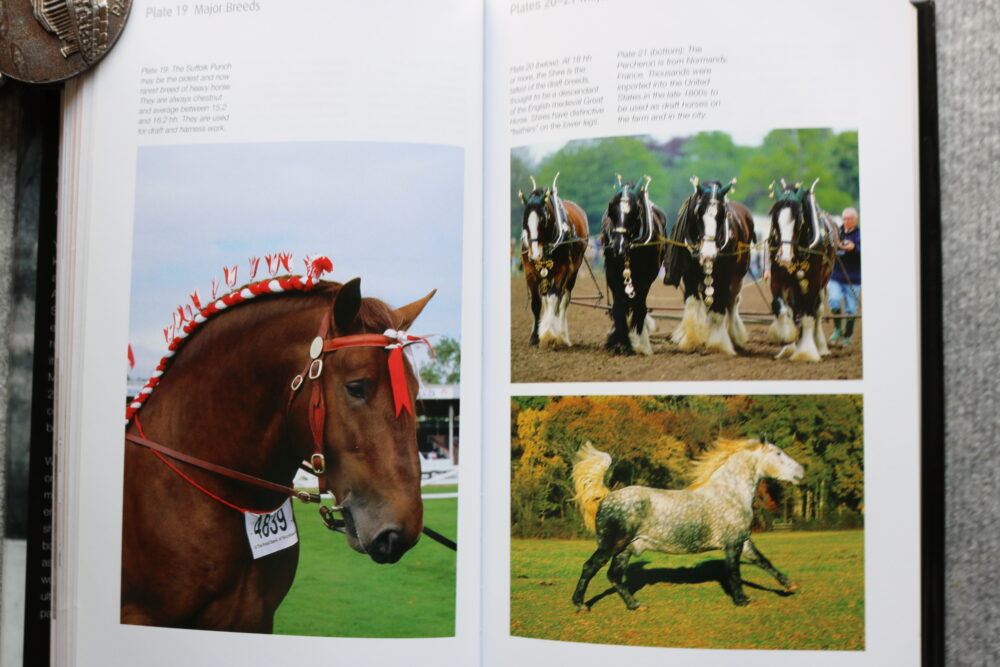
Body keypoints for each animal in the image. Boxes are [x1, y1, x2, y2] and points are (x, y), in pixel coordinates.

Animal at [518, 173, 589, 348]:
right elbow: (536, 303)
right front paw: (534, 337)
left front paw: (549, 334)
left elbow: (553, 298)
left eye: (543, 219)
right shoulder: (530, 271)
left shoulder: (562, 270)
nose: (535, 254)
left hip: (573, 272)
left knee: (563, 300)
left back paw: (562, 335)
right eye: (525, 219)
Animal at [571, 439, 803, 610]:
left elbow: (764, 562)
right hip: (611, 545)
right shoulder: (732, 544)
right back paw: (581, 604)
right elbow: (734, 573)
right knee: (590, 567)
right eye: (778, 453)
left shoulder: (744, 540)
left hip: (625, 549)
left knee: (614, 576)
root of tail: (607, 498)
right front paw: (742, 600)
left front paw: (790, 585)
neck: (730, 493)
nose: (801, 471)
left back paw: (635, 605)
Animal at [601, 175, 667, 355]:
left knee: (639, 303)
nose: (618, 246)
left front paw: (638, 342)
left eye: (635, 211)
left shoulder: (646, 275)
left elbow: (638, 304)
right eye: (611, 209)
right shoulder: (612, 273)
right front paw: (620, 341)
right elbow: (618, 305)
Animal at [663, 177, 755, 355]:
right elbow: (693, 303)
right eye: (698, 213)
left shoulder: (725, 276)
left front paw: (717, 344)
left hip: (738, 276)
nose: (708, 254)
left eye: (723, 214)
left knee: (732, 302)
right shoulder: (689, 275)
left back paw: (734, 337)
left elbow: (719, 308)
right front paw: (691, 341)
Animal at [767, 179, 840, 361]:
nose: (785, 256)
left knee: (817, 311)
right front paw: (787, 338)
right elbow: (780, 307)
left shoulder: (812, 282)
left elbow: (808, 314)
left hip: (822, 282)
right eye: (774, 217)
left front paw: (806, 352)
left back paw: (820, 346)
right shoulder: (778, 279)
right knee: (795, 309)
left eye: (798, 219)